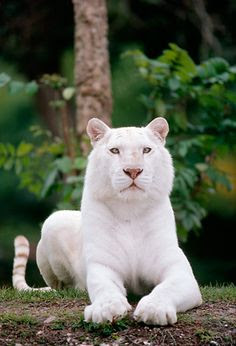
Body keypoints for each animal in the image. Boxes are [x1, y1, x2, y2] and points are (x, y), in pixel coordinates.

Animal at [12, 117, 201, 326]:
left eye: (146, 150)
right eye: (115, 150)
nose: (133, 170)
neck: (130, 209)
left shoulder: (179, 272)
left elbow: (167, 288)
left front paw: (154, 309)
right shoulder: (103, 266)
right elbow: (105, 289)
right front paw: (105, 309)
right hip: (53, 221)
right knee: (60, 287)